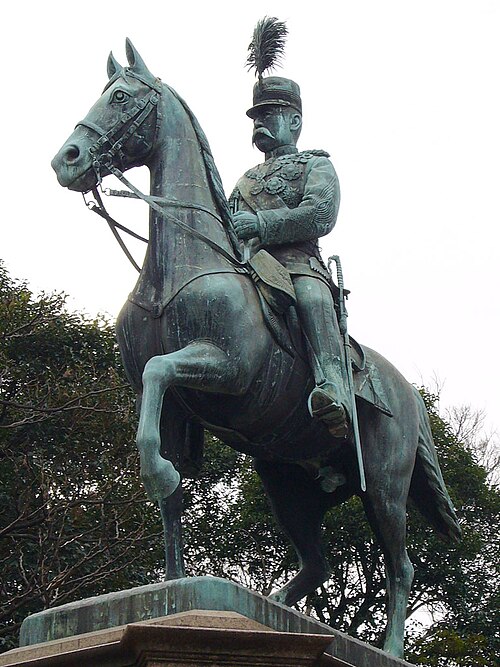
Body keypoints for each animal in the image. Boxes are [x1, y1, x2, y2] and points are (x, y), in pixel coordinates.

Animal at [51, 40, 460, 656]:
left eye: (120, 97)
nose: (68, 159)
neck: (179, 266)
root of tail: (408, 393)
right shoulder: (172, 408)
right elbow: (160, 456)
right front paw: (172, 575)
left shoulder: (226, 368)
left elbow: (158, 372)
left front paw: (160, 476)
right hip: (286, 482)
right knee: (317, 564)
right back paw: (280, 612)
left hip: (385, 485)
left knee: (401, 565)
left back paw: (386, 649)